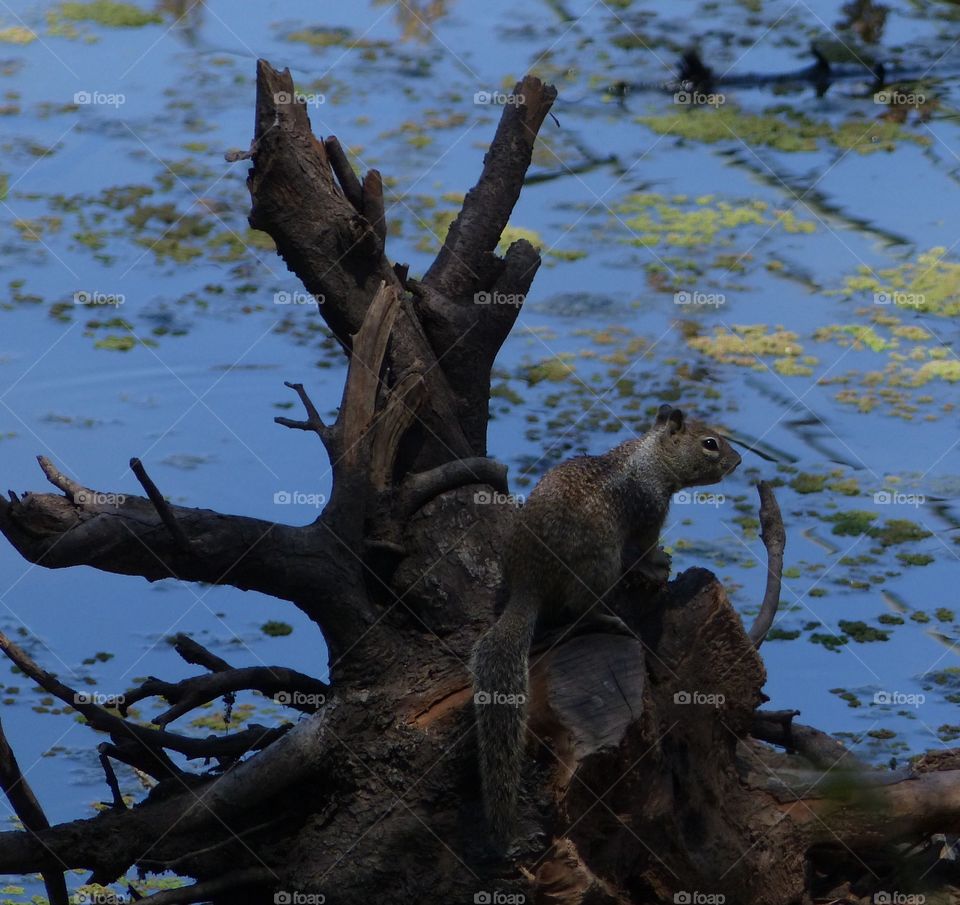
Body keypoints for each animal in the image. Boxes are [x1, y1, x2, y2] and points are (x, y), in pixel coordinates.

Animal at [470, 402, 744, 840]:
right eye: (710, 443)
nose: (738, 461)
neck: (649, 458)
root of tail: (529, 585)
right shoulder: (649, 513)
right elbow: (646, 547)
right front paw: (657, 561)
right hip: (600, 566)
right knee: (580, 612)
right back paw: (609, 619)